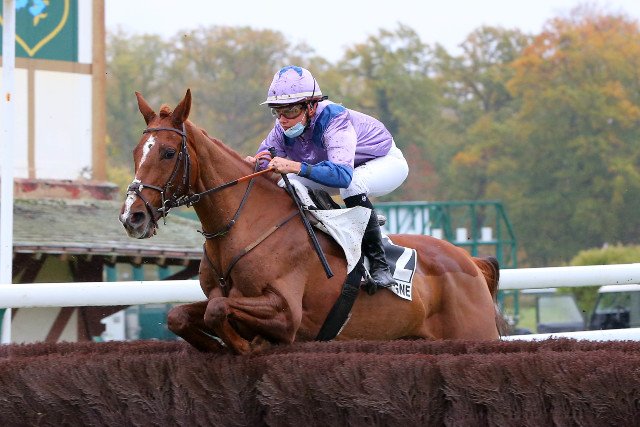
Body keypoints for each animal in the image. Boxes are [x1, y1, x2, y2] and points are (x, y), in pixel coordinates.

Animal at [119, 89, 505, 355]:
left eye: (169, 152)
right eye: (137, 152)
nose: (131, 216)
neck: (243, 226)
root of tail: (470, 261)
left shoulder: (287, 313)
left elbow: (218, 310)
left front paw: (246, 346)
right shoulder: (220, 296)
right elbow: (179, 315)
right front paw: (215, 345)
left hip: (474, 332)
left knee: (353, 183)